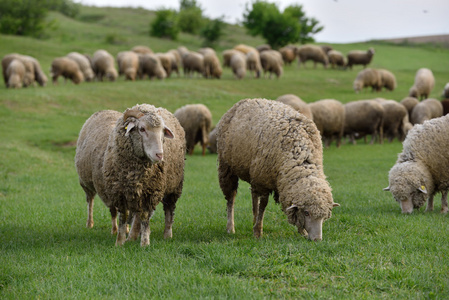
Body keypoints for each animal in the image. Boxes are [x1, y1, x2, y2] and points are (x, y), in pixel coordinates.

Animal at [75, 103, 186, 246]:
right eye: (142, 129)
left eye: (162, 131)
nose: (159, 155)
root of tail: (105, 110)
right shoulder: (119, 192)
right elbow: (123, 216)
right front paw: (120, 241)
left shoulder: (150, 192)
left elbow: (144, 217)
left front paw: (145, 242)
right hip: (86, 183)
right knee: (91, 201)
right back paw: (93, 225)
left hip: (174, 186)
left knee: (169, 209)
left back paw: (166, 234)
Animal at [215, 98, 338, 241]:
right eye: (306, 213)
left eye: (325, 216)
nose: (317, 239)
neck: (300, 155)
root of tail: (245, 101)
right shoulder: (264, 181)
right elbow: (263, 206)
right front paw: (258, 232)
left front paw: (302, 232)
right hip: (227, 167)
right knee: (231, 198)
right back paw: (231, 228)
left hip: (254, 172)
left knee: (253, 195)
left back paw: (253, 219)